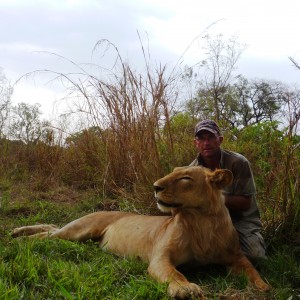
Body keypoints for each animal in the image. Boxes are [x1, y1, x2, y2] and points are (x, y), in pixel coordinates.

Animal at [11, 168, 270, 298]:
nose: (155, 186)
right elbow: (174, 273)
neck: (201, 221)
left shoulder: (235, 256)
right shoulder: (160, 258)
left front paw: (263, 286)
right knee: (48, 234)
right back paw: (19, 237)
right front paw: (186, 289)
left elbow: (251, 268)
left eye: (185, 178)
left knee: (51, 227)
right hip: (79, 230)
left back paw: (17, 233)